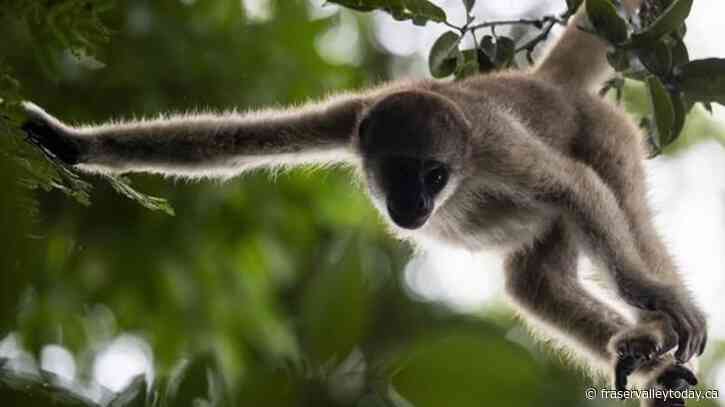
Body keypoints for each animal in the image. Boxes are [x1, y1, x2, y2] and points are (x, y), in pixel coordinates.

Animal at [19, 1, 708, 405]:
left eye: (434, 175)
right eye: (396, 173)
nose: (413, 205)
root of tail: (545, 84)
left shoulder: (491, 144)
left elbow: (574, 188)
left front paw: (662, 301)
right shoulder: (353, 120)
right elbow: (225, 146)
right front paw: (69, 142)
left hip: (606, 133)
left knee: (616, 207)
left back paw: (652, 329)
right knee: (535, 283)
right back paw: (648, 362)